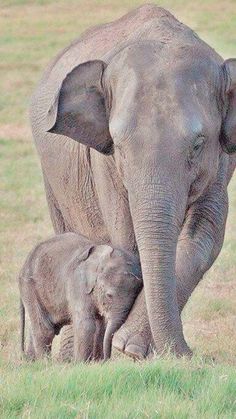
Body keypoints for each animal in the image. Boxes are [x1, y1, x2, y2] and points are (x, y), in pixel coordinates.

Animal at [18, 231, 142, 362]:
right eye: (109, 295)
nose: (106, 360)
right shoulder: (78, 284)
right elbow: (86, 324)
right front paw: (81, 363)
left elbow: (100, 325)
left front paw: (96, 363)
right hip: (29, 286)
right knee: (43, 328)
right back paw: (44, 362)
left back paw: (32, 362)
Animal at [30, 4, 235, 360]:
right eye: (120, 145)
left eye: (198, 144)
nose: (188, 353)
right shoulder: (104, 163)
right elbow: (127, 238)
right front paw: (124, 352)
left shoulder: (220, 165)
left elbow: (204, 236)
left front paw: (130, 347)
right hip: (53, 180)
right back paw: (73, 360)